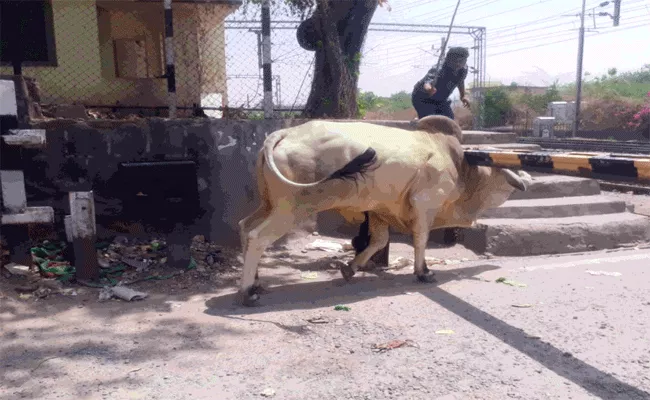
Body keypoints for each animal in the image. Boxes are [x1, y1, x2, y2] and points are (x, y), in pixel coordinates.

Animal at [235, 115, 528, 306]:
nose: (527, 180)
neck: (461, 165)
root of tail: (284, 134)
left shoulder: (377, 210)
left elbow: (378, 241)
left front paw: (351, 268)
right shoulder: (425, 204)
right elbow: (420, 241)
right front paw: (423, 272)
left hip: (270, 204)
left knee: (245, 227)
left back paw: (255, 281)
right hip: (293, 209)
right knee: (257, 237)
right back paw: (248, 291)